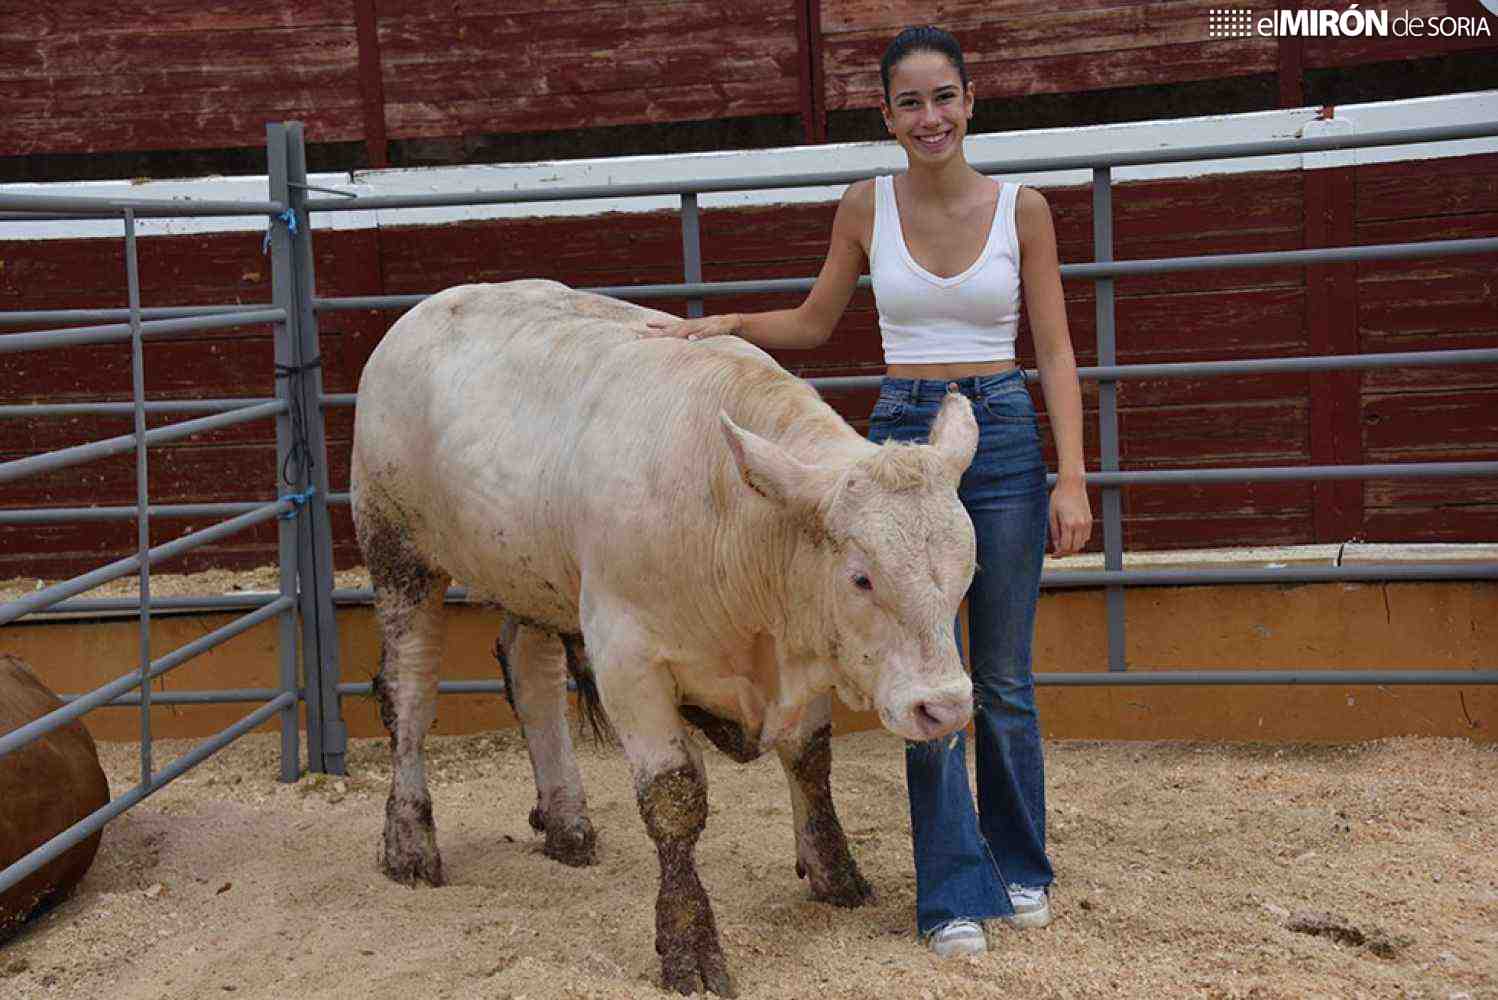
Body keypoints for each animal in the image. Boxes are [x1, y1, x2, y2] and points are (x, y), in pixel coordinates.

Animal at [352, 279, 982, 994]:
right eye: (861, 578)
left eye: (968, 569)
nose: (945, 707)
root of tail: (427, 309)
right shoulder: (627, 657)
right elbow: (674, 796)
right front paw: (689, 943)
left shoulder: (805, 647)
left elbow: (810, 759)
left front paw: (836, 873)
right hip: (397, 551)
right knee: (409, 693)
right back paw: (409, 840)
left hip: (533, 577)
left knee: (531, 674)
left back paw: (566, 822)